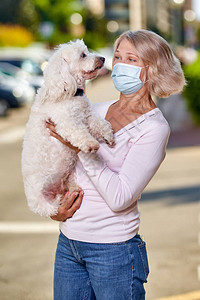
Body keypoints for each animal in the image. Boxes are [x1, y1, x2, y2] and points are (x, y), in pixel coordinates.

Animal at [21, 40, 114, 218]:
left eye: (87, 51)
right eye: (83, 55)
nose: (103, 58)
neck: (71, 92)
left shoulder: (87, 116)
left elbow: (101, 124)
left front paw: (108, 136)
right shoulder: (66, 122)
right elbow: (79, 133)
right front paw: (91, 144)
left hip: (68, 177)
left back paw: (73, 188)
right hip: (44, 205)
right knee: (53, 207)